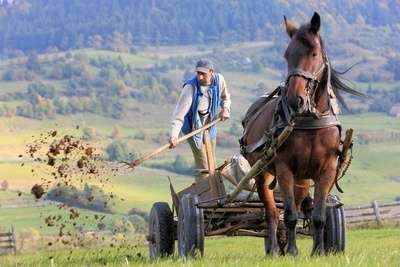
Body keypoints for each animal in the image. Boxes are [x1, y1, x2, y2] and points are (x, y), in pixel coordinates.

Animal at [241, 12, 362, 258]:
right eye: (287, 55)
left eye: (313, 53)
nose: (293, 99)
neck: (310, 121)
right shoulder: (284, 169)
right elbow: (288, 215)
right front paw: (293, 251)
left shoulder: (326, 171)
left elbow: (318, 215)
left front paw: (319, 250)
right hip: (262, 173)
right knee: (271, 213)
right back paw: (274, 249)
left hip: (303, 179)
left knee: (298, 206)